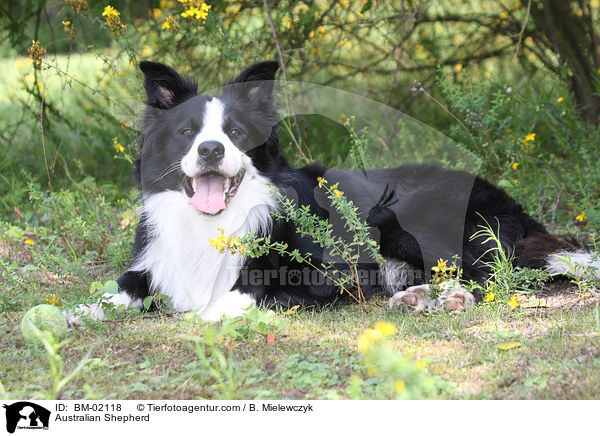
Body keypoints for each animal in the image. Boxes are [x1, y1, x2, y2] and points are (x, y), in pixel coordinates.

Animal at [65, 59, 596, 322]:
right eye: (187, 132)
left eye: (235, 133)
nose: (212, 150)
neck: (214, 223)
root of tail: (514, 207)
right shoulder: (154, 265)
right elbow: (122, 289)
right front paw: (81, 312)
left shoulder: (314, 274)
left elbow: (237, 296)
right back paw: (416, 295)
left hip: (405, 220)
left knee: (490, 277)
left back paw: (447, 298)